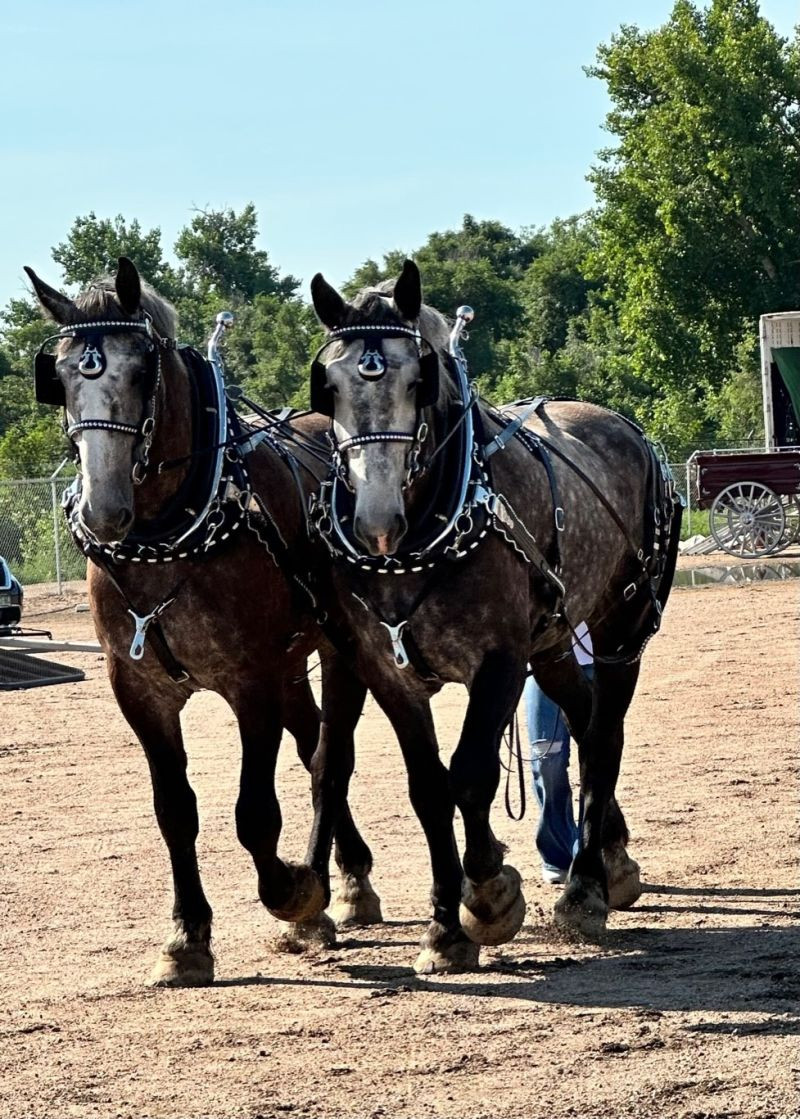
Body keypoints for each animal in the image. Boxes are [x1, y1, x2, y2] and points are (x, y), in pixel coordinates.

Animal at [25, 258, 382, 986]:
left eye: (141, 371)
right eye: (64, 375)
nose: (103, 509)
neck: (165, 536)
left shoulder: (251, 682)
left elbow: (254, 814)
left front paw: (293, 891)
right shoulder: (140, 690)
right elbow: (174, 812)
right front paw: (187, 935)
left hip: (335, 653)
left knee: (330, 758)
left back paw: (335, 886)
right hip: (290, 666)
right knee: (312, 745)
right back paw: (346, 878)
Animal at [303, 260, 681, 973]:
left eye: (417, 380)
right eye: (329, 386)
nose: (375, 521)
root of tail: (629, 431)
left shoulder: (499, 662)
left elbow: (472, 774)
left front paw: (487, 892)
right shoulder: (386, 669)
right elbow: (428, 788)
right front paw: (443, 930)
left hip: (621, 629)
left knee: (604, 737)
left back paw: (586, 888)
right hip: (554, 643)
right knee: (584, 721)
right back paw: (608, 861)